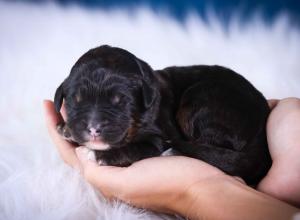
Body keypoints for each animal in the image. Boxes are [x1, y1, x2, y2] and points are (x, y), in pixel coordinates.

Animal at [54, 45, 272, 185]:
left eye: (121, 101)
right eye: (76, 100)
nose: (93, 128)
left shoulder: (158, 137)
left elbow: (137, 148)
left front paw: (97, 154)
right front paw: (66, 129)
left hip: (200, 98)